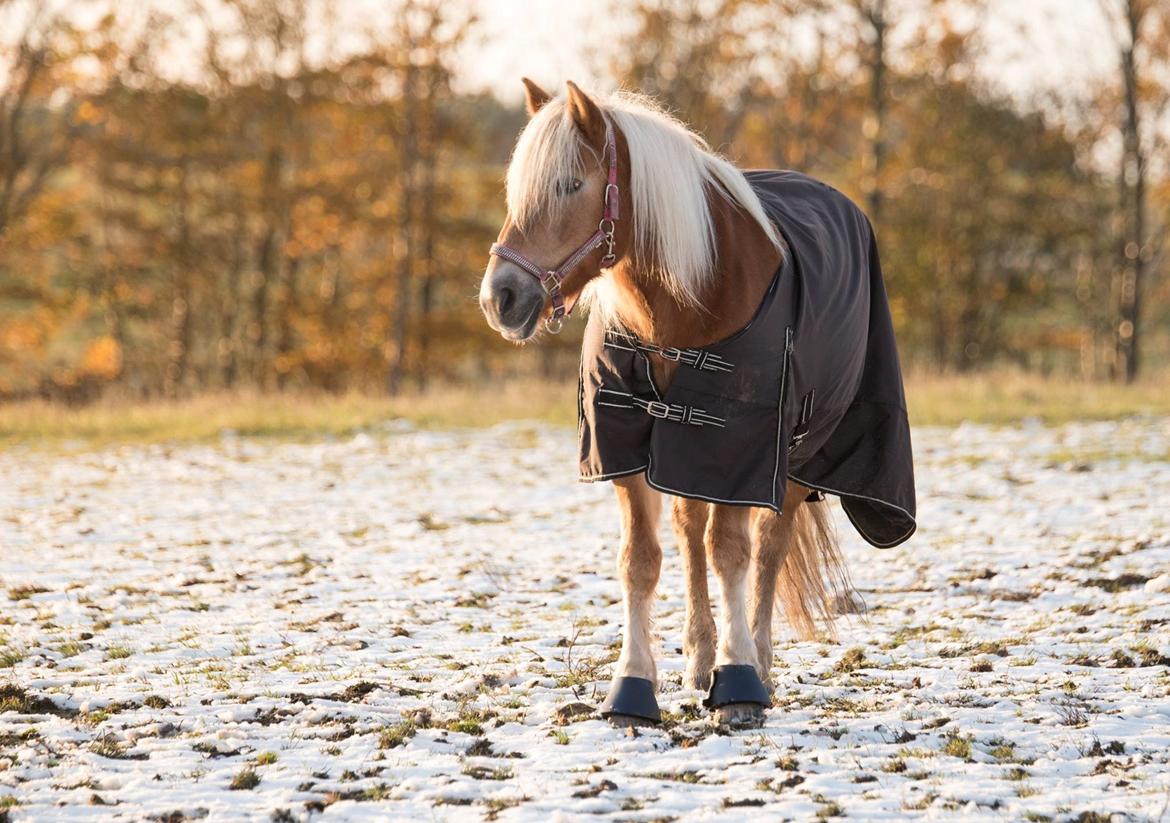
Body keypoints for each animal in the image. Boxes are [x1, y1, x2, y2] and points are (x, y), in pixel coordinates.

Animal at [475, 80, 912, 725]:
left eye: (571, 185)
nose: (500, 298)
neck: (690, 300)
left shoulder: (740, 453)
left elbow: (732, 552)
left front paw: (739, 683)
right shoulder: (631, 454)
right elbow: (641, 560)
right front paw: (633, 687)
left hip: (795, 463)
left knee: (768, 548)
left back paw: (757, 662)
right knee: (690, 533)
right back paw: (700, 658)